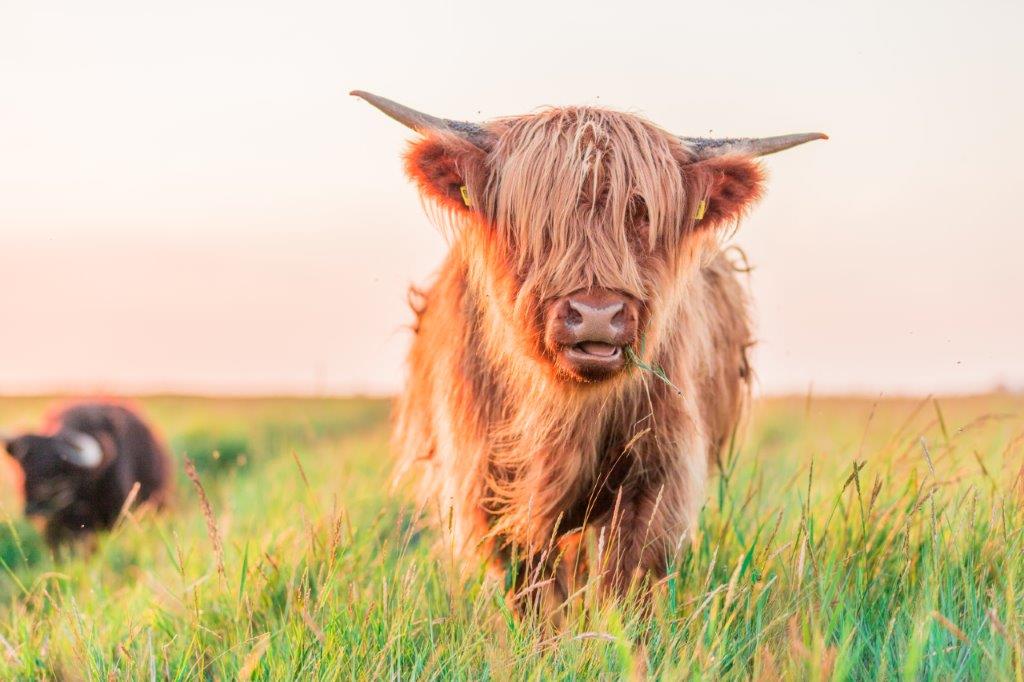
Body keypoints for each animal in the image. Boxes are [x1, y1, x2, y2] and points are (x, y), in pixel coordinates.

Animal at [354, 90, 823, 606]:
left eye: (641, 214)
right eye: (536, 218)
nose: (597, 313)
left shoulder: (657, 473)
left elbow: (627, 578)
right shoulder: (486, 484)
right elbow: (532, 589)